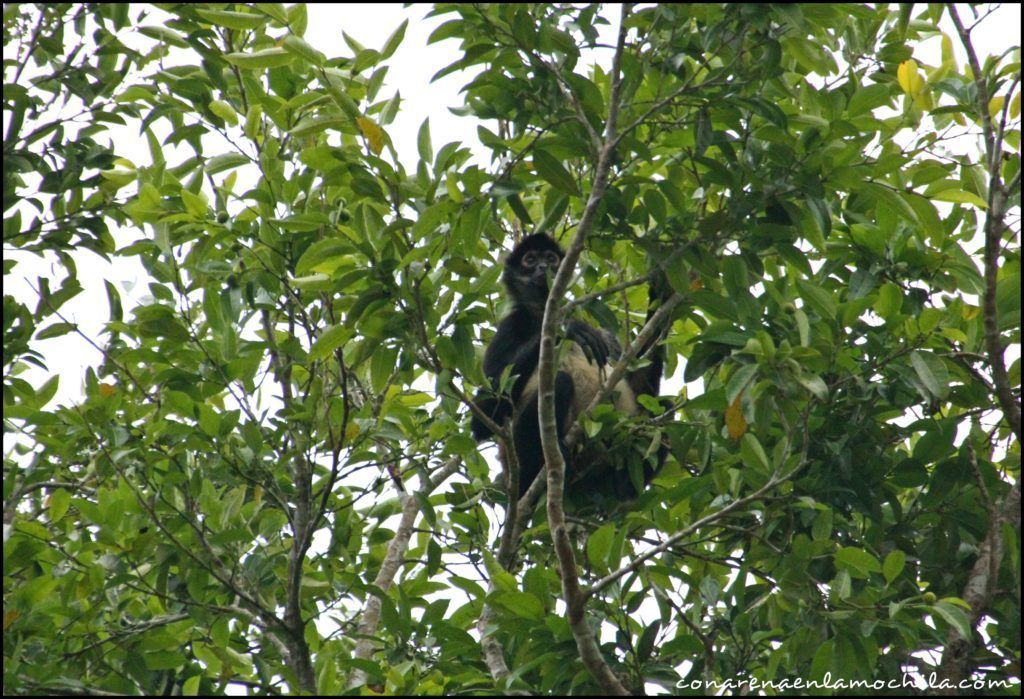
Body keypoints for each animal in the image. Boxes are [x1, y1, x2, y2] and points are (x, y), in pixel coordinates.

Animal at [468, 232, 667, 499]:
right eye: (529, 260)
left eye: (551, 258)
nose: (543, 268)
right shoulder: (510, 325)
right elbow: (482, 421)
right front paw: (567, 328)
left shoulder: (605, 334)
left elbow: (643, 388)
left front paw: (663, 290)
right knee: (560, 381)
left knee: (666, 405)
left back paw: (622, 487)